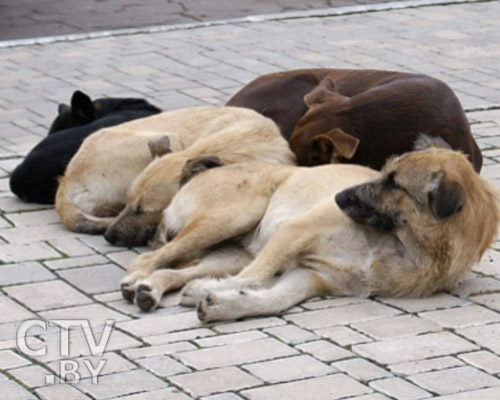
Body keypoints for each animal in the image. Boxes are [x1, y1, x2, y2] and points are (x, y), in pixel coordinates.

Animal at [122, 136, 500, 320]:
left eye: (394, 184)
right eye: (384, 172)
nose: (338, 197)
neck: (398, 245)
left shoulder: (312, 277)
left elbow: (275, 298)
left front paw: (223, 303)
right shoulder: (294, 231)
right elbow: (255, 277)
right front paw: (216, 292)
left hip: (231, 253)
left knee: (171, 271)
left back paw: (151, 289)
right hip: (232, 217)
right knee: (149, 259)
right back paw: (136, 281)